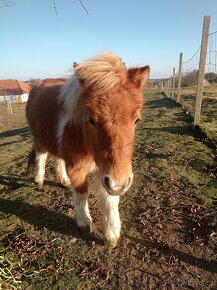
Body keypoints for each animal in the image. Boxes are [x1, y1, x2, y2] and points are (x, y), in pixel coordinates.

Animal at [26, 52, 150, 247]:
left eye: (137, 119)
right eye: (91, 119)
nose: (119, 184)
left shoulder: (107, 173)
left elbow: (110, 200)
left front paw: (111, 233)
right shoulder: (78, 168)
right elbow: (81, 192)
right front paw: (84, 223)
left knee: (57, 158)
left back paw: (62, 180)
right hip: (39, 139)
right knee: (41, 156)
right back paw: (38, 179)